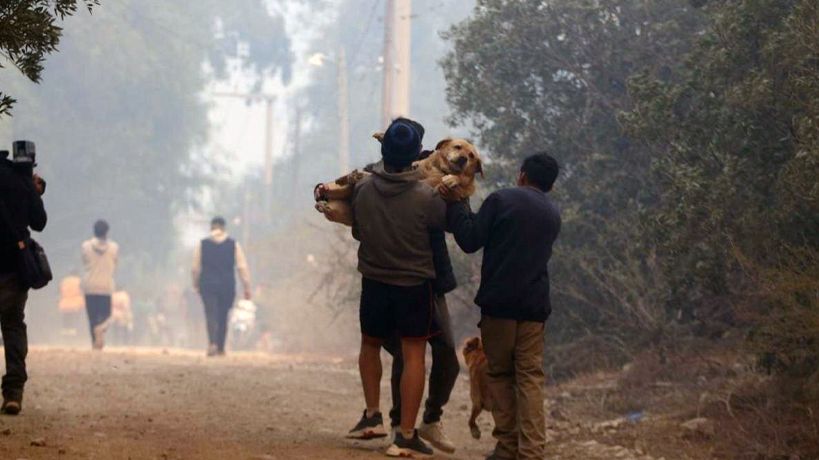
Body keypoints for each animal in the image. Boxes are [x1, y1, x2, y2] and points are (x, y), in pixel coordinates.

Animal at [312, 133, 480, 226]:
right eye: (457, 147)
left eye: (471, 155)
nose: (464, 159)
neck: (439, 168)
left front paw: (453, 180)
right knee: (340, 187)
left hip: (343, 209)